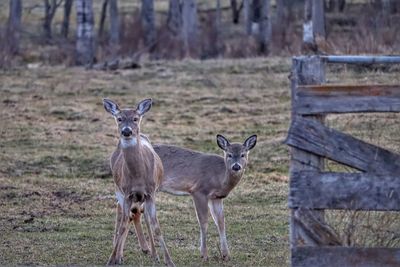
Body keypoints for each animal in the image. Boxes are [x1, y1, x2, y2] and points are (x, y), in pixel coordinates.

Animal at [102, 99, 174, 267]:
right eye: (119, 118)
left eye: (135, 118)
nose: (127, 131)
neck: (138, 177)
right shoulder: (127, 193)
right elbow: (123, 225)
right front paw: (111, 259)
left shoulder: (151, 193)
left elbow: (156, 226)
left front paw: (168, 260)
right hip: (118, 189)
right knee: (123, 213)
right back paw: (120, 255)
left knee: (142, 215)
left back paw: (152, 253)